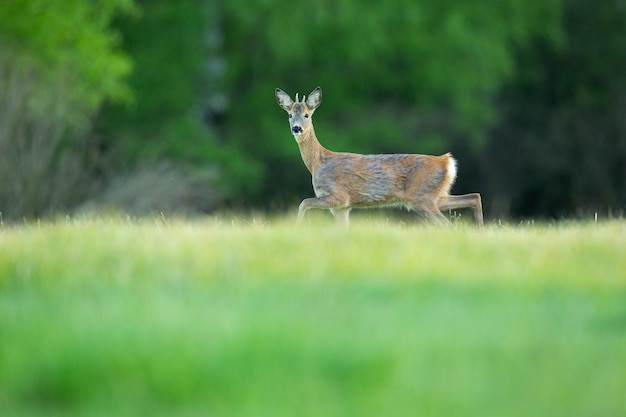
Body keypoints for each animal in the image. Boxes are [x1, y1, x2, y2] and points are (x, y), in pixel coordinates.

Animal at [272, 85, 482, 226]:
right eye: (290, 115)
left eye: (307, 115)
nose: (296, 128)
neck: (317, 163)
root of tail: (446, 161)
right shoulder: (342, 208)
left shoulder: (339, 196)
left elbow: (304, 202)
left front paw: (297, 228)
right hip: (436, 195)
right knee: (474, 196)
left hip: (422, 197)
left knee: (449, 224)